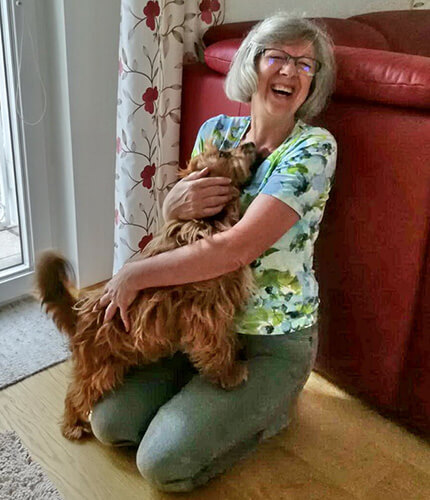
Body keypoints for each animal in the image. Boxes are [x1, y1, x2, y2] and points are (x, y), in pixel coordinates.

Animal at [35, 141, 257, 440]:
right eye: (223, 153)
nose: (251, 143)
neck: (205, 222)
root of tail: (79, 315)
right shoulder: (205, 314)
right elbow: (218, 345)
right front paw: (229, 373)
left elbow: (228, 338)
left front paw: (237, 351)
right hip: (99, 368)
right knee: (77, 393)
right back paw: (74, 424)